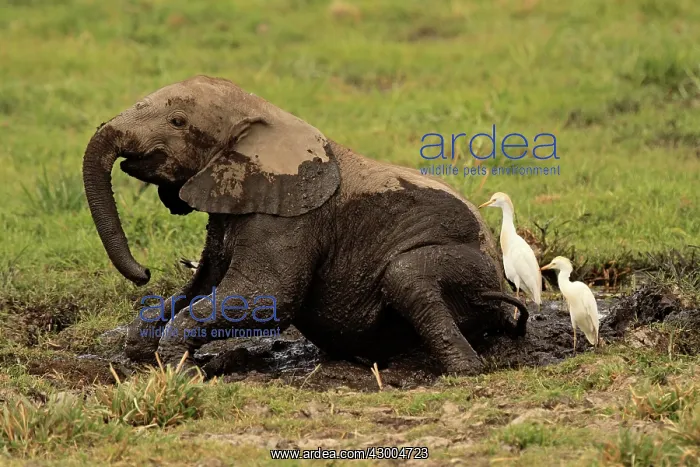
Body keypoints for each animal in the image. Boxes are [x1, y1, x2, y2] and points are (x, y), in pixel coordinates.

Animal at [81, 75, 529, 376]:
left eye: (177, 121)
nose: (144, 272)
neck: (263, 114)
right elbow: (202, 285)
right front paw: (143, 350)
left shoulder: (291, 220)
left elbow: (266, 296)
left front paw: (181, 368)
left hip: (472, 269)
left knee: (406, 274)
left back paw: (464, 372)